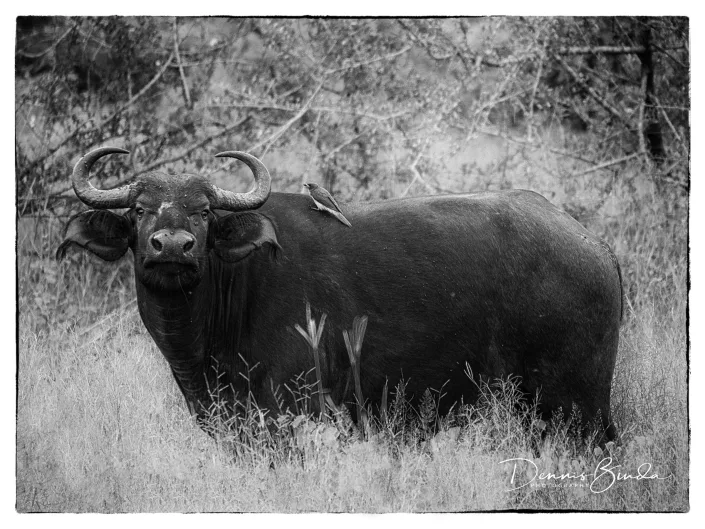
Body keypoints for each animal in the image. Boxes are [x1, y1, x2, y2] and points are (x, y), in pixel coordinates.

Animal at [59, 147, 622, 440]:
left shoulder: (292, 414)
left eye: (203, 212)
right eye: (139, 210)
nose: (173, 246)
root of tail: (596, 248)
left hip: (579, 408)